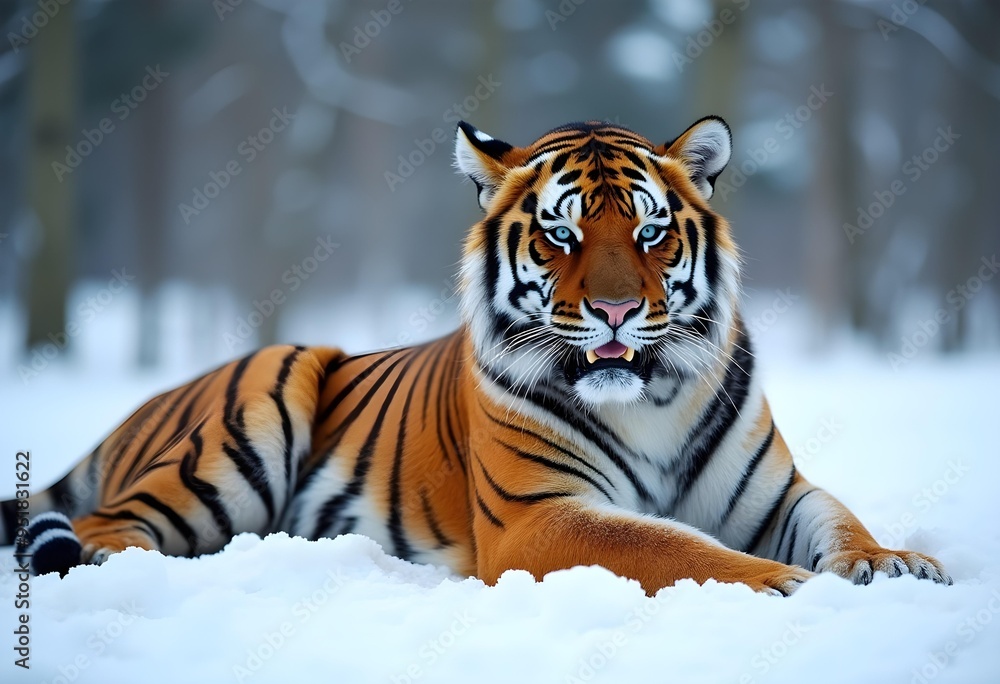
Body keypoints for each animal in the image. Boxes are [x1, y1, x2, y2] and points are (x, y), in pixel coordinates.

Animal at [2, 117, 951, 595]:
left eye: (650, 232)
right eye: (562, 234)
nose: (615, 310)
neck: (647, 398)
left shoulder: (773, 494)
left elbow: (837, 518)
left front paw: (890, 564)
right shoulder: (540, 516)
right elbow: (668, 546)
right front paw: (782, 585)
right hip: (260, 403)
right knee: (102, 529)